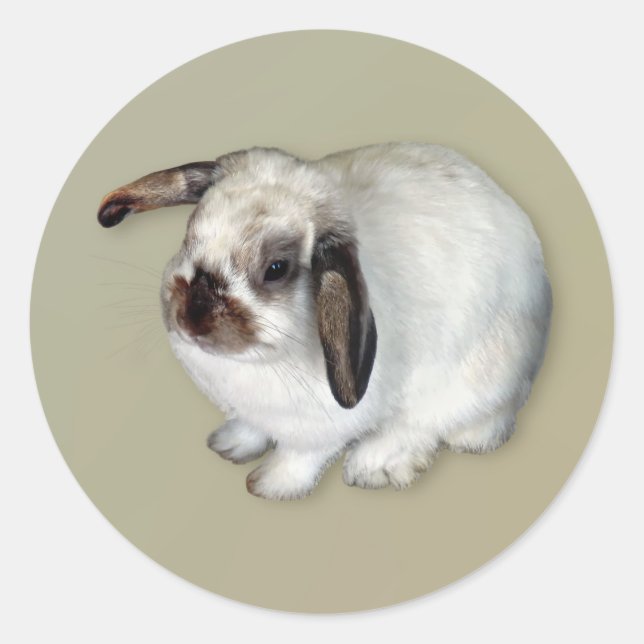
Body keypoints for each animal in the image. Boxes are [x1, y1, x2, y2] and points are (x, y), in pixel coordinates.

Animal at [97, 142, 552, 500]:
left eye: (276, 269)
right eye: (189, 237)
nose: (191, 318)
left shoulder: (319, 427)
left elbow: (299, 456)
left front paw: (269, 485)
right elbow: (251, 427)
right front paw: (230, 445)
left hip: (463, 381)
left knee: (426, 425)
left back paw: (376, 465)